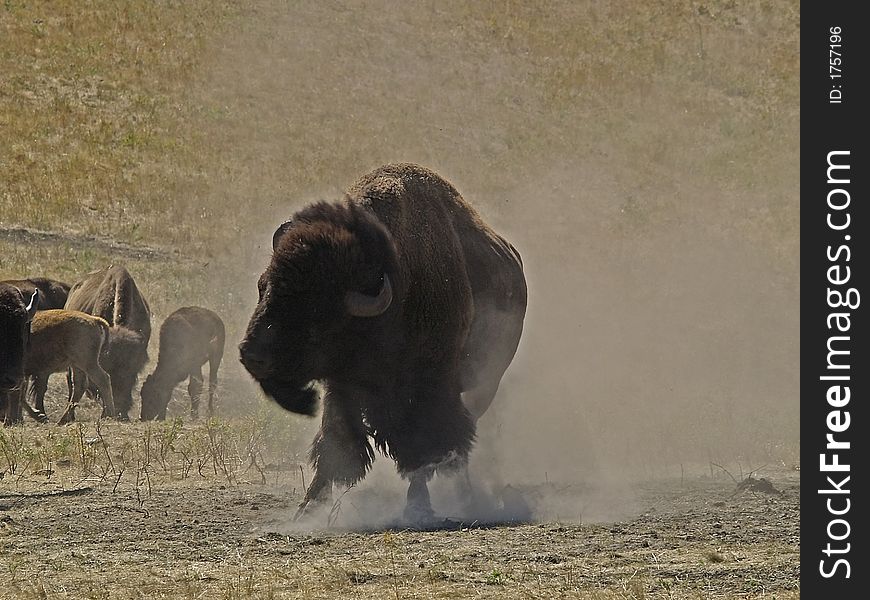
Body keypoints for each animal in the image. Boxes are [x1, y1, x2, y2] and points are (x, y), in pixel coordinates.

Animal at [238, 163, 528, 520]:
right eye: (263, 286)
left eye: (317, 309)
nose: (252, 355)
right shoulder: (343, 387)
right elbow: (337, 442)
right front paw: (307, 509)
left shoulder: (426, 388)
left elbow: (421, 448)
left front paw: (418, 506)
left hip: (485, 383)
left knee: (461, 437)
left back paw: (466, 495)